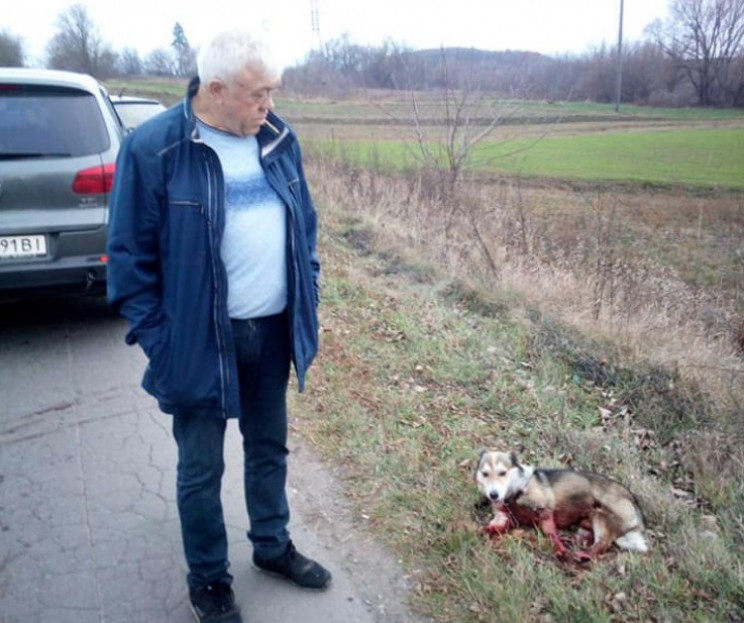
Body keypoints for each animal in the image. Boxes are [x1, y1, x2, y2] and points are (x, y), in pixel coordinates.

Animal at [476, 448, 644, 560]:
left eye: (503, 473)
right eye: (485, 474)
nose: (493, 495)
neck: (514, 493)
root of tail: (632, 499)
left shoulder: (544, 510)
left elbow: (551, 533)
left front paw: (559, 549)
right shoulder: (503, 518)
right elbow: (490, 528)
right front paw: (479, 530)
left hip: (601, 517)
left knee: (602, 544)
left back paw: (582, 554)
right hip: (585, 525)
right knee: (586, 538)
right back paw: (570, 540)